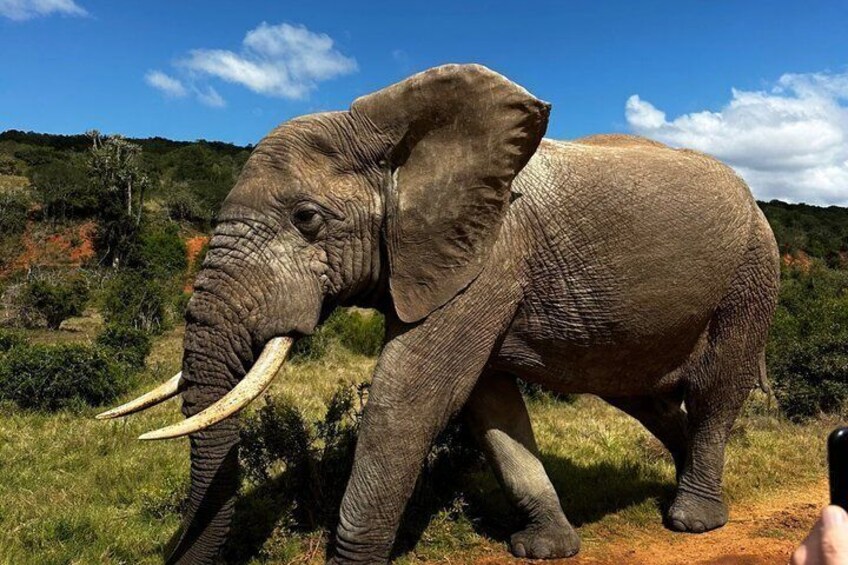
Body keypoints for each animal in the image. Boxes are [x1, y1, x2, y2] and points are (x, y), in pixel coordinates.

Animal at [99, 63, 780, 563]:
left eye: (307, 219)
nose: (174, 554)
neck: (391, 132)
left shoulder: (492, 254)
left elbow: (411, 397)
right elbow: (487, 405)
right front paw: (545, 550)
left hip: (752, 273)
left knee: (716, 388)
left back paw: (693, 519)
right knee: (647, 397)